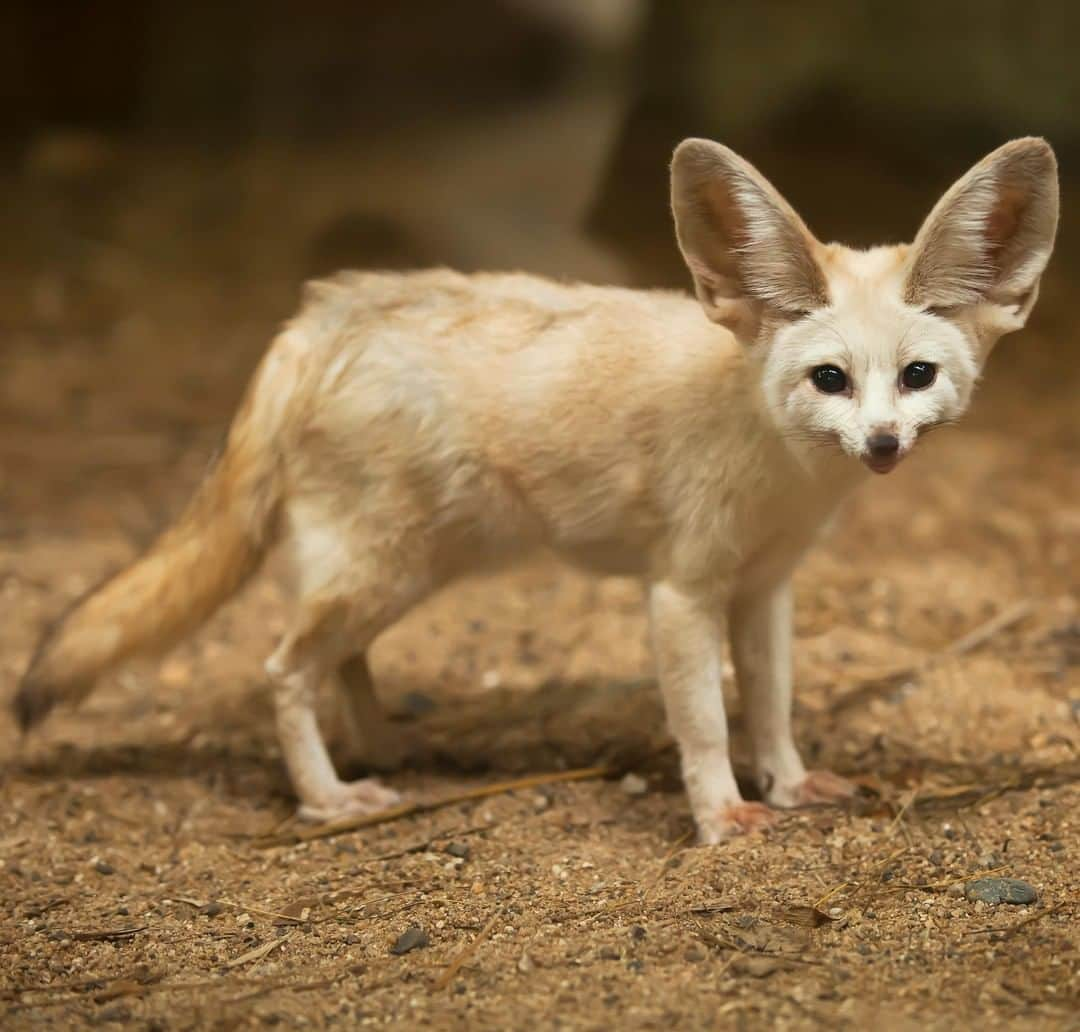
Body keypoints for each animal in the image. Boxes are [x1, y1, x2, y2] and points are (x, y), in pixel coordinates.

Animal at [12, 137, 1058, 842]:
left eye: (916, 377)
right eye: (830, 379)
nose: (882, 443)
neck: (781, 473)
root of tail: (316, 317)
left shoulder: (766, 586)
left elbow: (770, 705)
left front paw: (790, 784)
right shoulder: (682, 591)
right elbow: (705, 721)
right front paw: (722, 817)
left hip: (403, 571)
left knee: (338, 661)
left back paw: (381, 746)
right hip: (383, 571)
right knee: (283, 669)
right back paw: (328, 797)